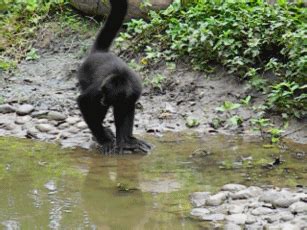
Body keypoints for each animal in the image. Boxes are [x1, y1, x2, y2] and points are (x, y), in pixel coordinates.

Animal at [77, 0, 152, 155]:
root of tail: (99, 53)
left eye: (107, 95)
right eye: (103, 93)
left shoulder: (134, 91)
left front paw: (126, 142)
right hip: (84, 76)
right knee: (97, 107)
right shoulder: (98, 88)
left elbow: (128, 107)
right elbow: (83, 102)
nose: (103, 100)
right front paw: (105, 140)